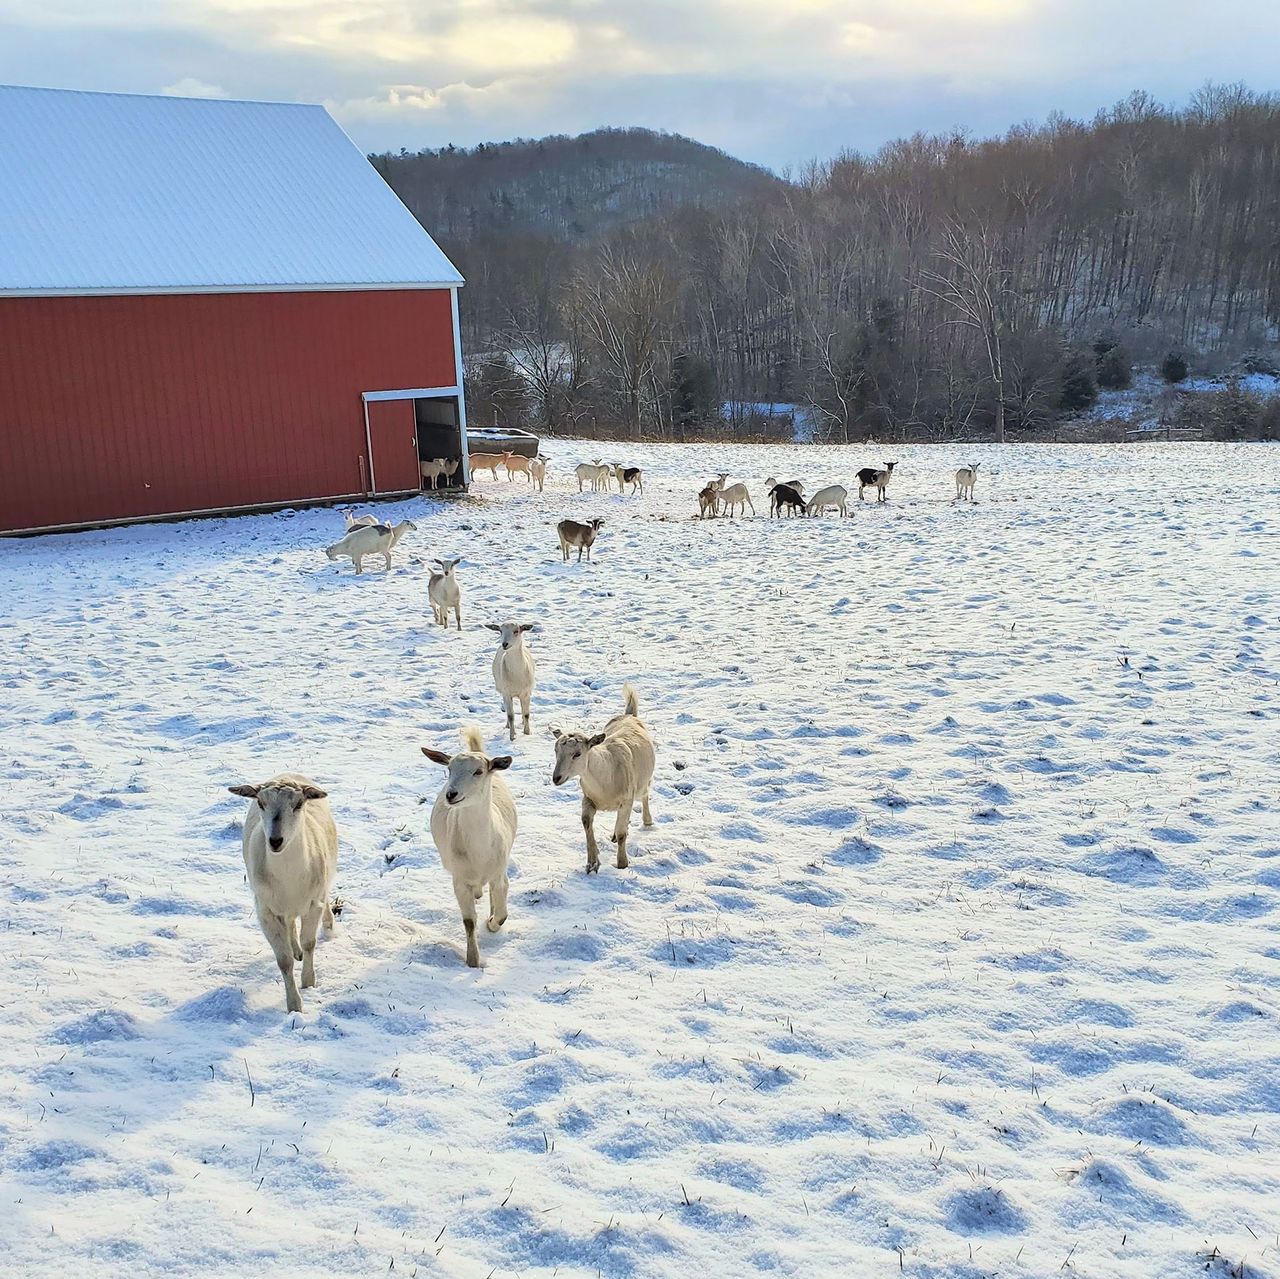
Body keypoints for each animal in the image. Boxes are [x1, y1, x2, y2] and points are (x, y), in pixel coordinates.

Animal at [229, 775, 337, 1013]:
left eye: (298, 804)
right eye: (261, 803)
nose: (275, 841)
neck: (289, 876)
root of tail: (288, 774)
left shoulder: (313, 903)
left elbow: (309, 943)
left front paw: (308, 983)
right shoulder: (266, 912)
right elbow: (284, 960)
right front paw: (294, 1005)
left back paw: (328, 926)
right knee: (289, 924)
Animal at [421, 728, 516, 968]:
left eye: (479, 771)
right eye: (449, 769)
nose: (451, 794)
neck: (478, 850)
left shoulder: (499, 873)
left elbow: (502, 914)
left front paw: (491, 924)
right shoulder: (459, 880)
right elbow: (469, 922)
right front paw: (472, 960)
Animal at [552, 684, 655, 874]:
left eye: (577, 754)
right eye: (556, 750)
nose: (556, 778)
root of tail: (629, 715)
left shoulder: (626, 800)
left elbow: (622, 834)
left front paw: (622, 864)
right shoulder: (588, 798)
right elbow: (586, 822)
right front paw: (592, 863)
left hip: (641, 783)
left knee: (644, 795)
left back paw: (647, 821)